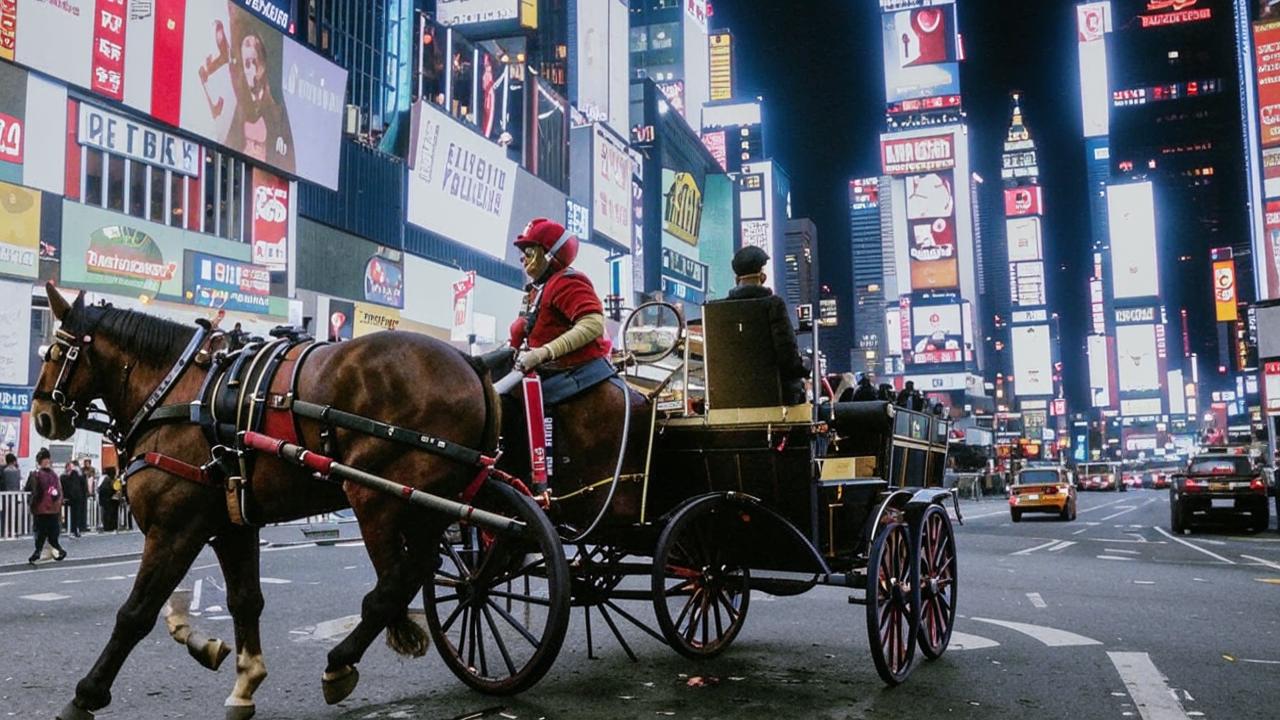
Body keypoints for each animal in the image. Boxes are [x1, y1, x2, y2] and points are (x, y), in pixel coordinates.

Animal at [33, 284, 494, 717]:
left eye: (54, 351)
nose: (41, 416)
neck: (176, 390)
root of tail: (470, 362)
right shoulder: (230, 525)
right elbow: (244, 601)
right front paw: (240, 673)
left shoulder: (175, 528)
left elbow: (135, 614)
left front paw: (87, 693)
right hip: (425, 508)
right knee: (422, 569)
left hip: (377, 497)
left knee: (397, 580)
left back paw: (340, 661)